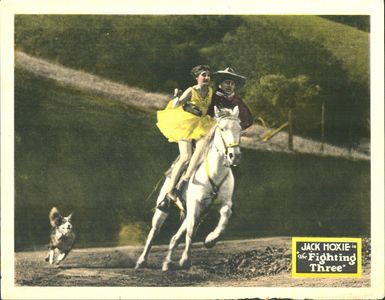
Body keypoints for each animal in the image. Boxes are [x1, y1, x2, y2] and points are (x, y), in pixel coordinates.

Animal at [136, 106, 240, 270]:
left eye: (240, 129)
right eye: (222, 129)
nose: (234, 156)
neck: (215, 173)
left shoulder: (224, 203)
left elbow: (225, 217)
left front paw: (210, 240)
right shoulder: (195, 205)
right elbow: (191, 232)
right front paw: (185, 260)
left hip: (196, 213)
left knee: (175, 237)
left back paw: (167, 263)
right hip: (163, 210)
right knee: (154, 232)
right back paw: (142, 261)